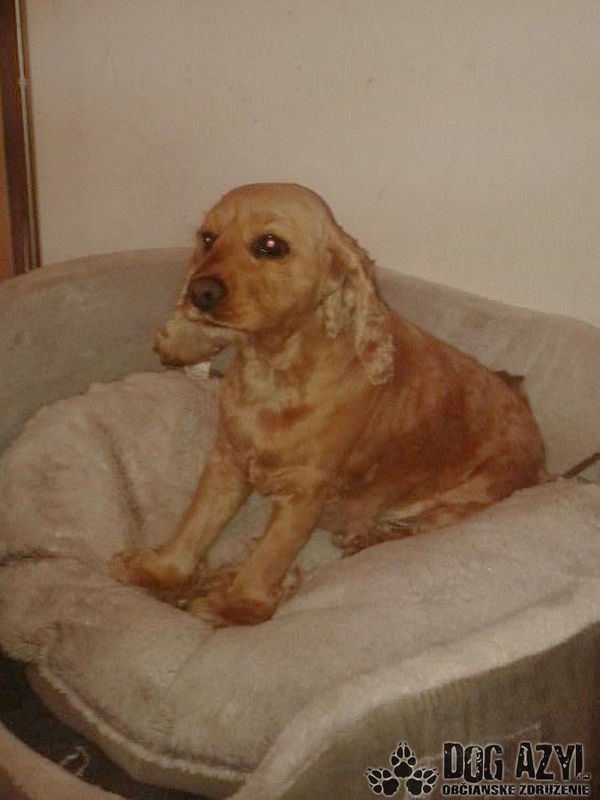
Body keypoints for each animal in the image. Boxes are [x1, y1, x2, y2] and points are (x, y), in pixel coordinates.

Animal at [112, 183, 546, 625]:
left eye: (271, 244)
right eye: (206, 238)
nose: (199, 292)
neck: (273, 370)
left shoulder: (305, 490)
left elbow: (268, 558)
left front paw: (234, 606)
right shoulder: (226, 461)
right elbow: (196, 523)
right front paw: (158, 571)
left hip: (468, 498)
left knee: (422, 525)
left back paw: (369, 536)